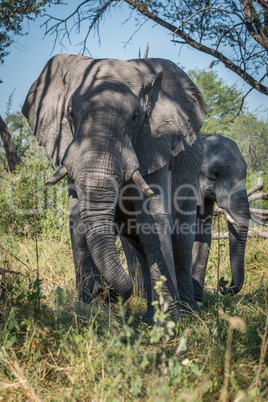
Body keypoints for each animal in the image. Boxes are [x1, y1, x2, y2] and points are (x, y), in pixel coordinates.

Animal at [22, 54, 207, 324]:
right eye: (71, 115)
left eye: (136, 117)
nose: (103, 291)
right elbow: (77, 220)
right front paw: (85, 314)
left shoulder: (154, 144)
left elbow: (154, 218)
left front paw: (169, 324)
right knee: (139, 248)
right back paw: (150, 315)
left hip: (190, 171)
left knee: (181, 242)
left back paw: (189, 312)